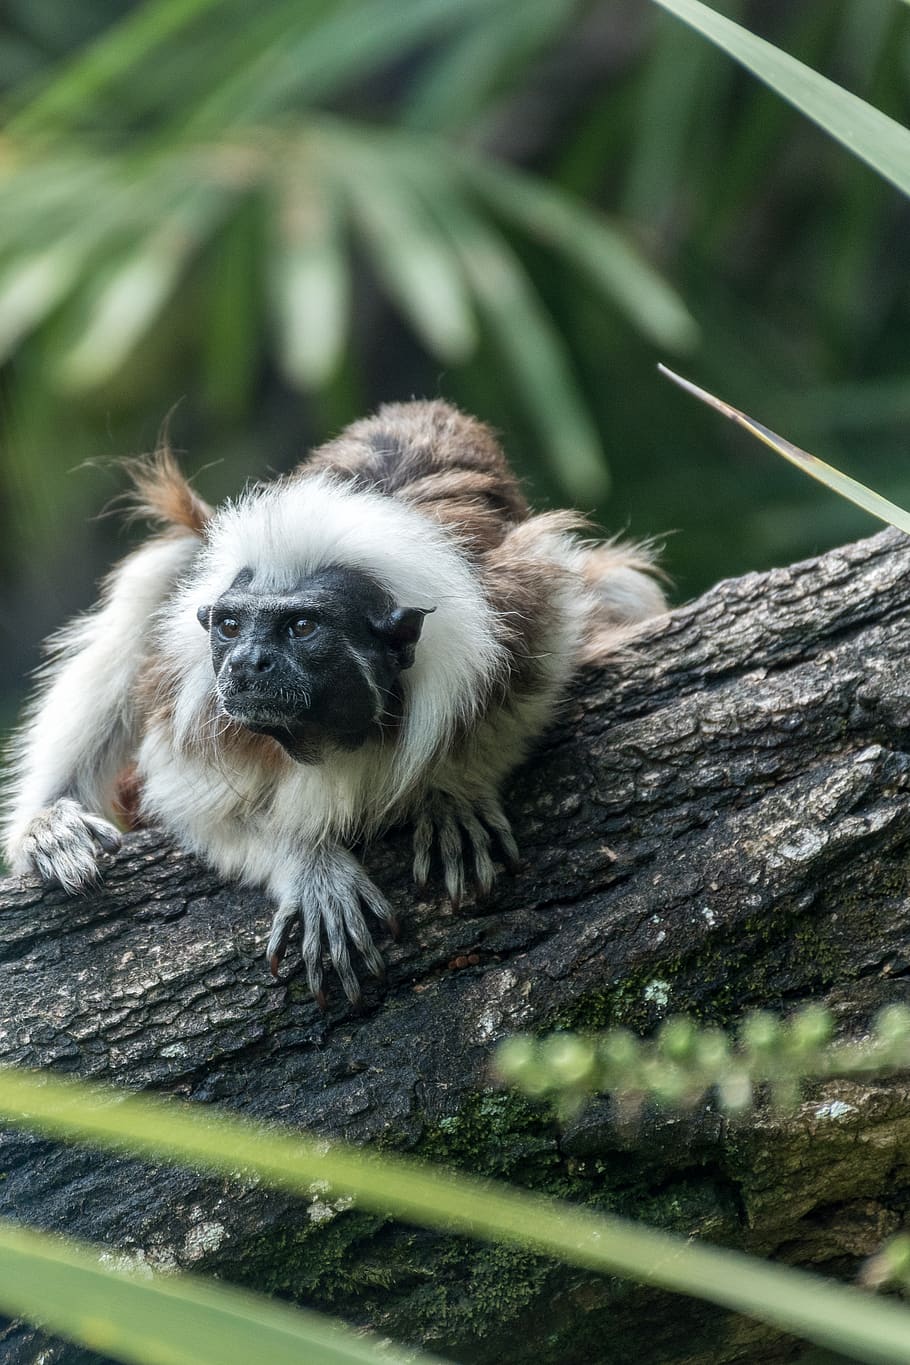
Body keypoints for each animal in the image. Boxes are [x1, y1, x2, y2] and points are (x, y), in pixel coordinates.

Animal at [2, 401, 666, 1007]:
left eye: (300, 627)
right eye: (231, 627)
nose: (245, 665)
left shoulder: (523, 607)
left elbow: (538, 683)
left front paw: (452, 788)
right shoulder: (200, 709)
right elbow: (195, 811)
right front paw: (311, 864)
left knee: (622, 590)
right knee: (158, 577)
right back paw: (50, 825)